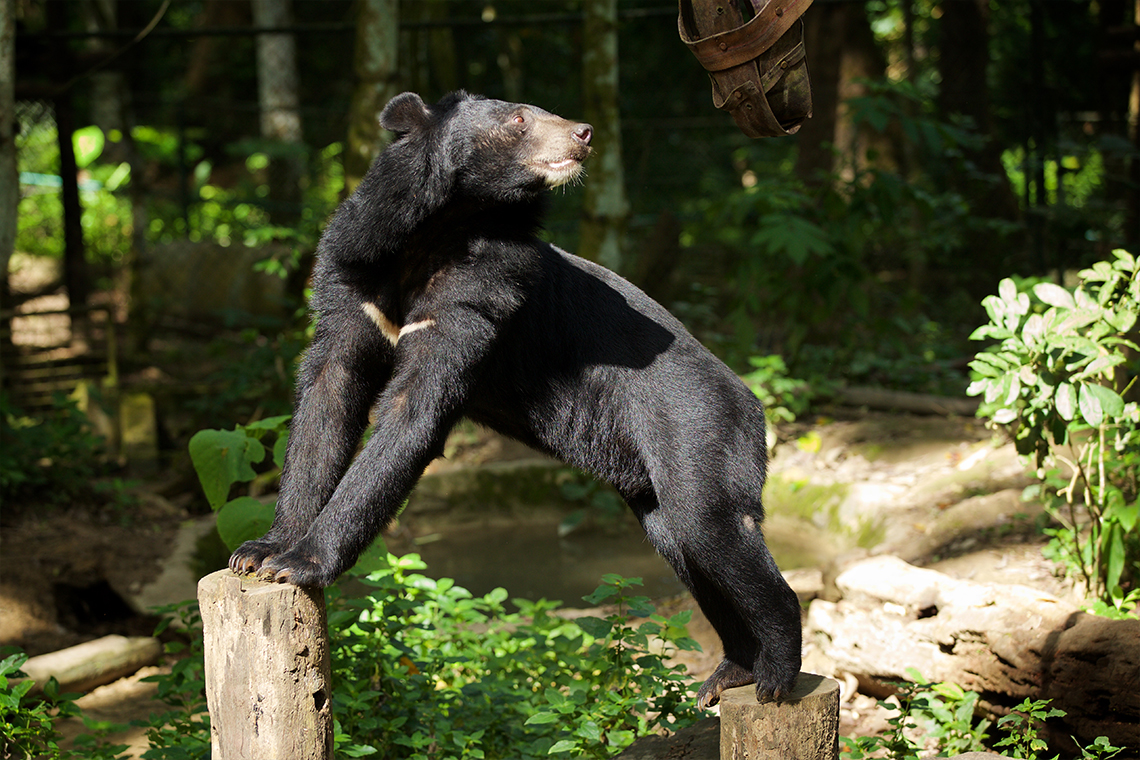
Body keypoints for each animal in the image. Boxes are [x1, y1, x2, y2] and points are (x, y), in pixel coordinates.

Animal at [229, 90, 802, 708]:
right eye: (519, 118)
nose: (585, 132)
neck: (442, 224)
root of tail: (750, 402)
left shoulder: (482, 289)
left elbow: (413, 414)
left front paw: (297, 563)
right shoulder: (353, 274)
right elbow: (327, 400)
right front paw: (260, 552)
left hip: (698, 428)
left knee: (711, 523)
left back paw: (774, 675)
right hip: (661, 476)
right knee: (688, 544)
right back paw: (733, 671)